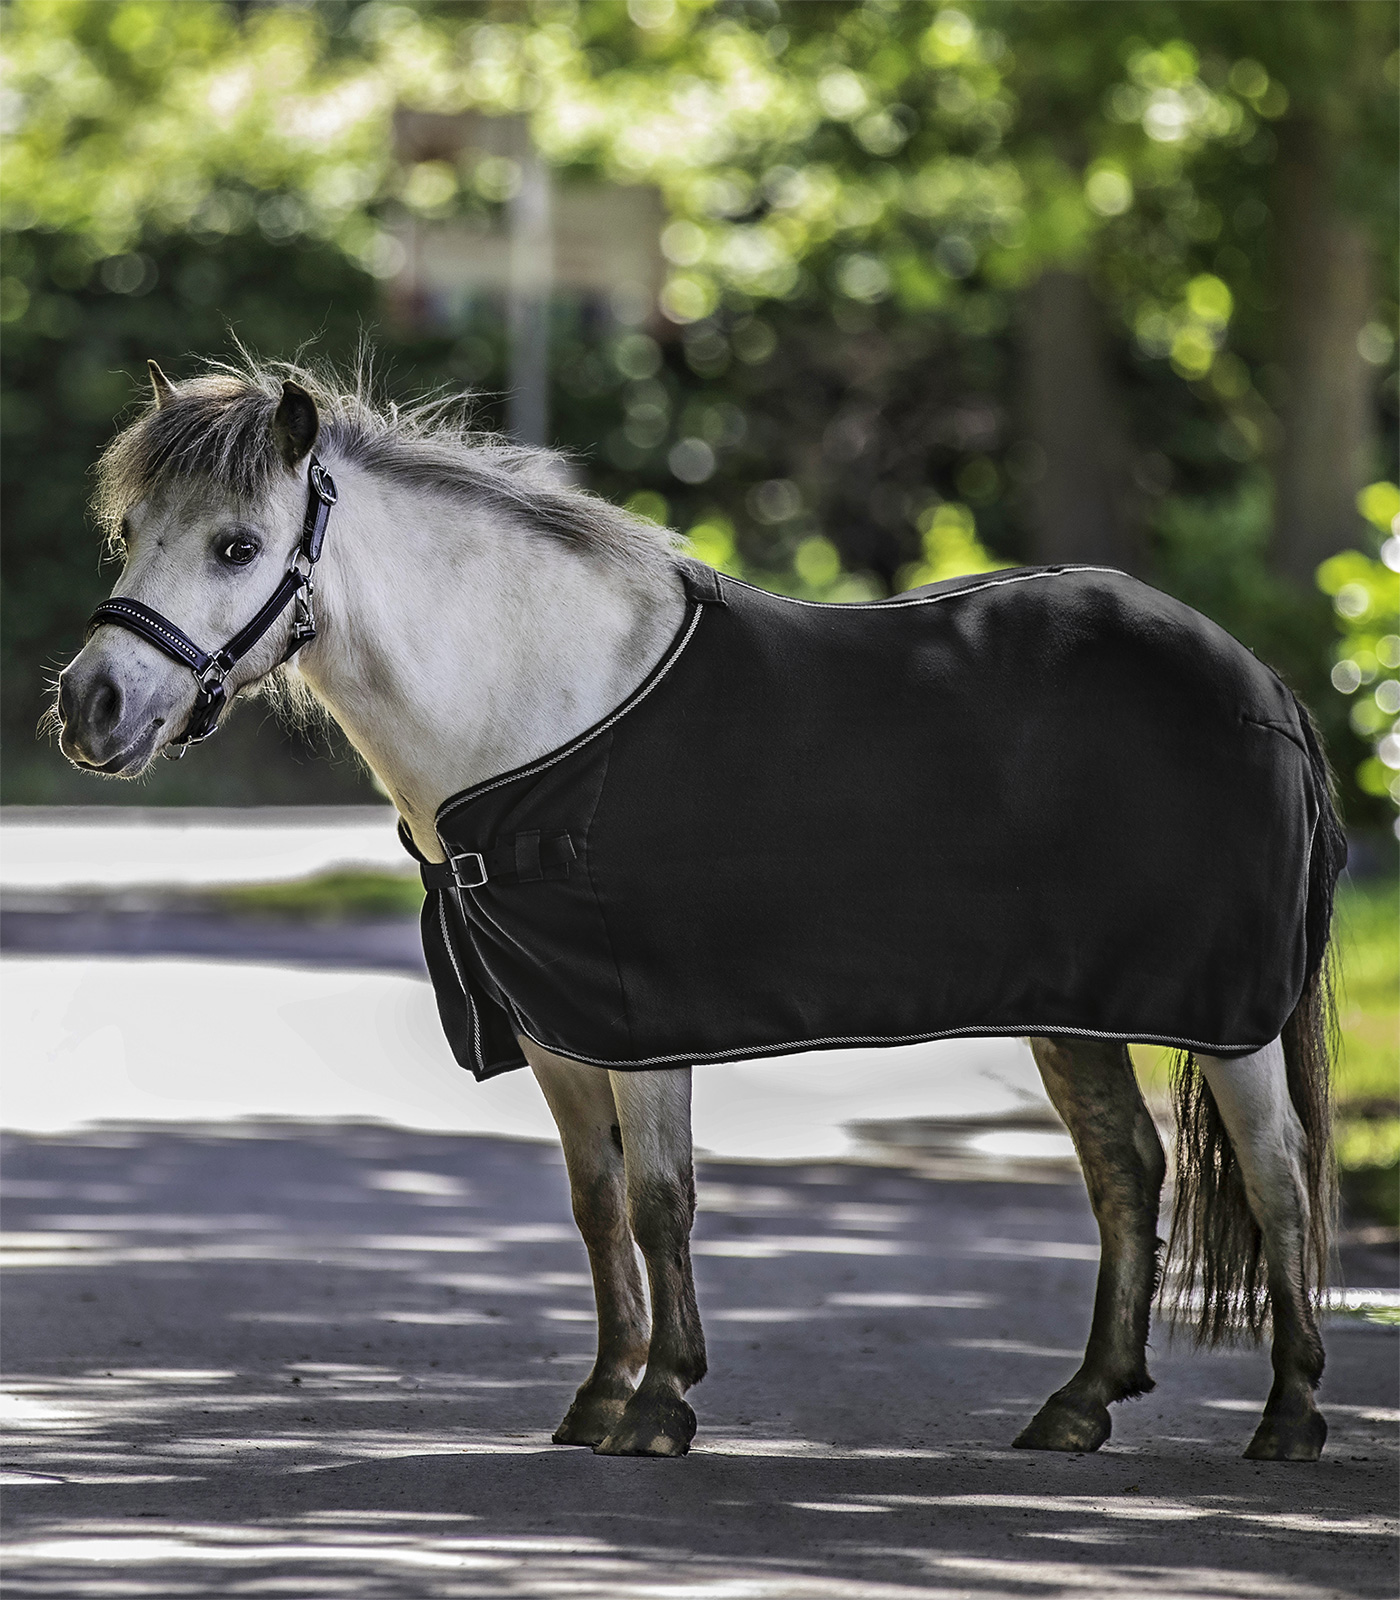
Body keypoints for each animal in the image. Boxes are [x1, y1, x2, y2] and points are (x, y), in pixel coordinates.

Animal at [54, 363, 1344, 1465]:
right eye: (132, 532)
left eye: (236, 544)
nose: (90, 705)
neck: (536, 708)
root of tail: (1261, 683)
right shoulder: (556, 1030)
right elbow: (596, 1204)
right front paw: (600, 1394)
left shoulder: (638, 1019)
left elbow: (661, 1200)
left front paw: (661, 1403)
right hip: (1074, 1012)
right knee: (1125, 1168)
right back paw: (1078, 1406)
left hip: (1225, 1015)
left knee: (1279, 1175)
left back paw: (1286, 1416)